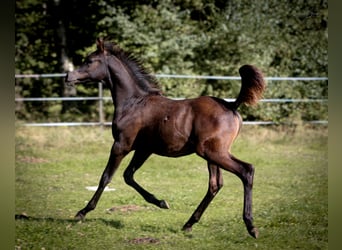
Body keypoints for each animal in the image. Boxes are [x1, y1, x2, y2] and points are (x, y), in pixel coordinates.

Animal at [65, 37, 266, 238]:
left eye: (90, 61)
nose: (68, 76)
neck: (133, 103)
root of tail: (232, 105)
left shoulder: (121, 145)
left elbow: (106, 177)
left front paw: (82, 212)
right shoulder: (144, 149)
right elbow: (128, 175)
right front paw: (161, 202)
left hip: (212, 152)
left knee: (246, 171)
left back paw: (251, 226)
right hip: (213, 154)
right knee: (215, 185)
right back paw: (189, 223)